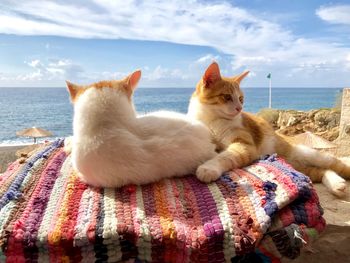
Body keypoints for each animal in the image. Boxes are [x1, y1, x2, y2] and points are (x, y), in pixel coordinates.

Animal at [189, 63, 350, 197]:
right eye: (227, 97)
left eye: (241, 99)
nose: (239, 108)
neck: (211, 120)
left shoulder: (245, 145)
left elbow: (225, 156)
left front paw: (209, 167)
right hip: (300, 168)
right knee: (321, 171)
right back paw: (337, 185)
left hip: (313, 155)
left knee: (335, 165)